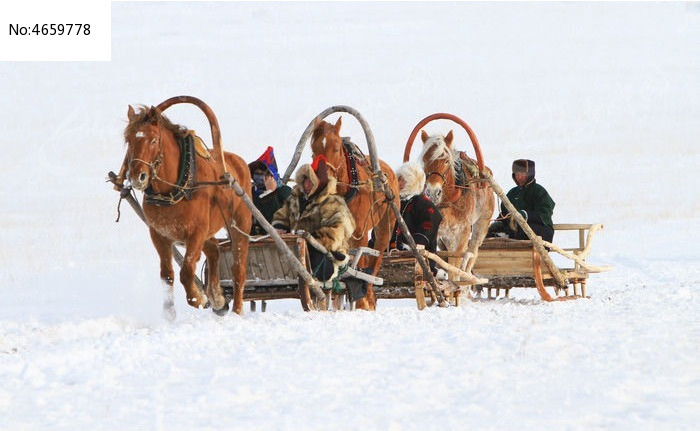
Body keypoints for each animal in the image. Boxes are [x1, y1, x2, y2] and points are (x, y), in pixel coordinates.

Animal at [123, 103, 252, 316]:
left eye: (153, 140)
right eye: (129, 140)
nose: (137, 176)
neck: (173, 189)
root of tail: (238, 161)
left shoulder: (196, 232)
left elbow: (187, 270)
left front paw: (198, 298)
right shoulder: (159, 234)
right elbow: (167, 275)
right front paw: (169, 314)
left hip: (240, 224)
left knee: (238, 269)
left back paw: (236, 310)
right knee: (214, 250)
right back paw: (218, 298)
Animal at [312, 118, 400, 310]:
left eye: (336, 148)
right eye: (313, 149)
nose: (323, 179)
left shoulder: (360, 232)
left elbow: (361, 262)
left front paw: (361, 300)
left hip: (386, 223)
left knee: (375, 257)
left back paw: (368, 294)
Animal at [418, 130, 494, 280]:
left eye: (446, 161)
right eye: (424, 160)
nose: (433, 192)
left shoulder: (461, 234)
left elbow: (455, 267)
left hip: (482, 223)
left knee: (472, 253)